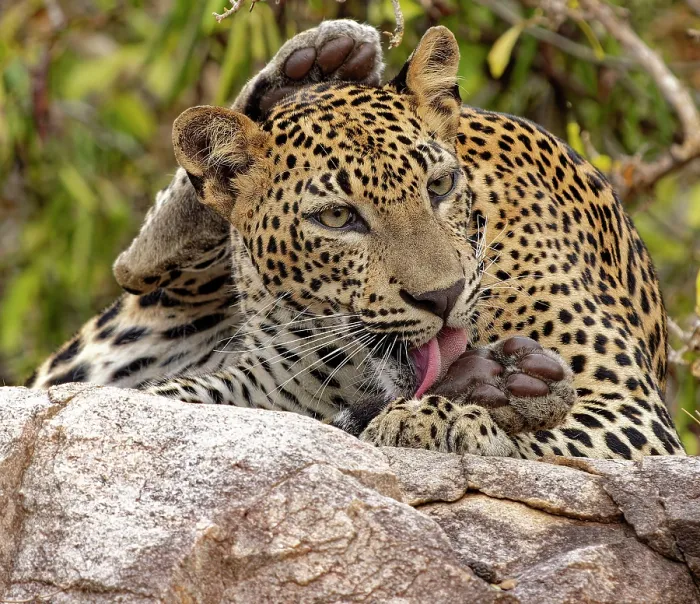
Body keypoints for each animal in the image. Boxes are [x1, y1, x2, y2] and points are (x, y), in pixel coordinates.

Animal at [28, 21, 684, 460]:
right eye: (339, 218)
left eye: (440, 185)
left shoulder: (630, 410)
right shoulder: (261, 388)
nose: (443, 297)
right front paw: (474, 396)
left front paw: (453, 416)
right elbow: (165, 401)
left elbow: (551, 433)